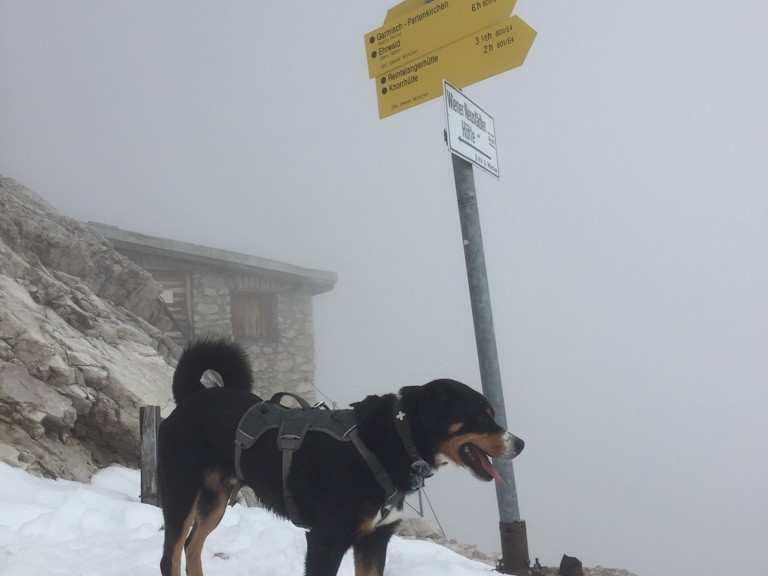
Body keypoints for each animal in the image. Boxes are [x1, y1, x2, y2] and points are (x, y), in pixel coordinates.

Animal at [159, 340, 524, 572]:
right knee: (171, 556)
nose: (520, 444)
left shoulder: (374, 541)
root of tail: (192, 397)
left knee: (192, 548)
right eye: (482, 416)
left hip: (215, 501)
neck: (391, 441)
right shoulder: (326, 540)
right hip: (181, 493)